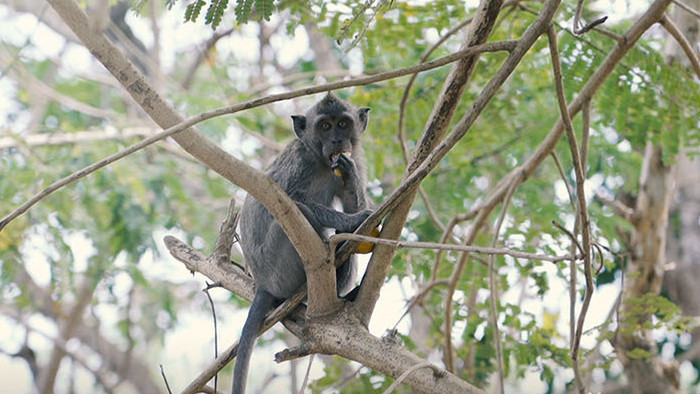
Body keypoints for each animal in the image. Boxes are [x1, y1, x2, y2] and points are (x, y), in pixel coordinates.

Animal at [234, 91, 372, 394]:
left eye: (343, 124)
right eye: (325, 126)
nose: (337, 141)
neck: (321, 161)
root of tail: (263, 283)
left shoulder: (354, 158)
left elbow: (351, 199)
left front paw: (350, 179)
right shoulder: (300, 161)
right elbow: (291, 199)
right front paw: (353, 220)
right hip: (278, 265)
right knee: (298, 212)